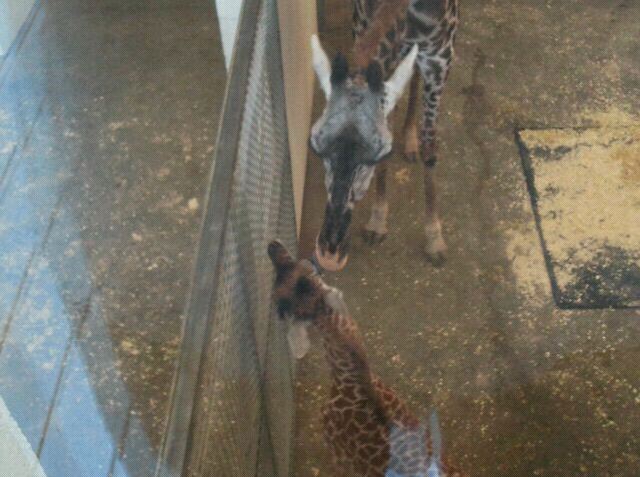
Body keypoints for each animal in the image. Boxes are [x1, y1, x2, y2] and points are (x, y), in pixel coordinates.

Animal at [310, 0, 459, 271]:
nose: (329, 253)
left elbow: (430, 146)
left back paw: (411, 140)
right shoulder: (367, 34)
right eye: (315, 147)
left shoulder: (441, 58)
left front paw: (434, 239)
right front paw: (377, 223)